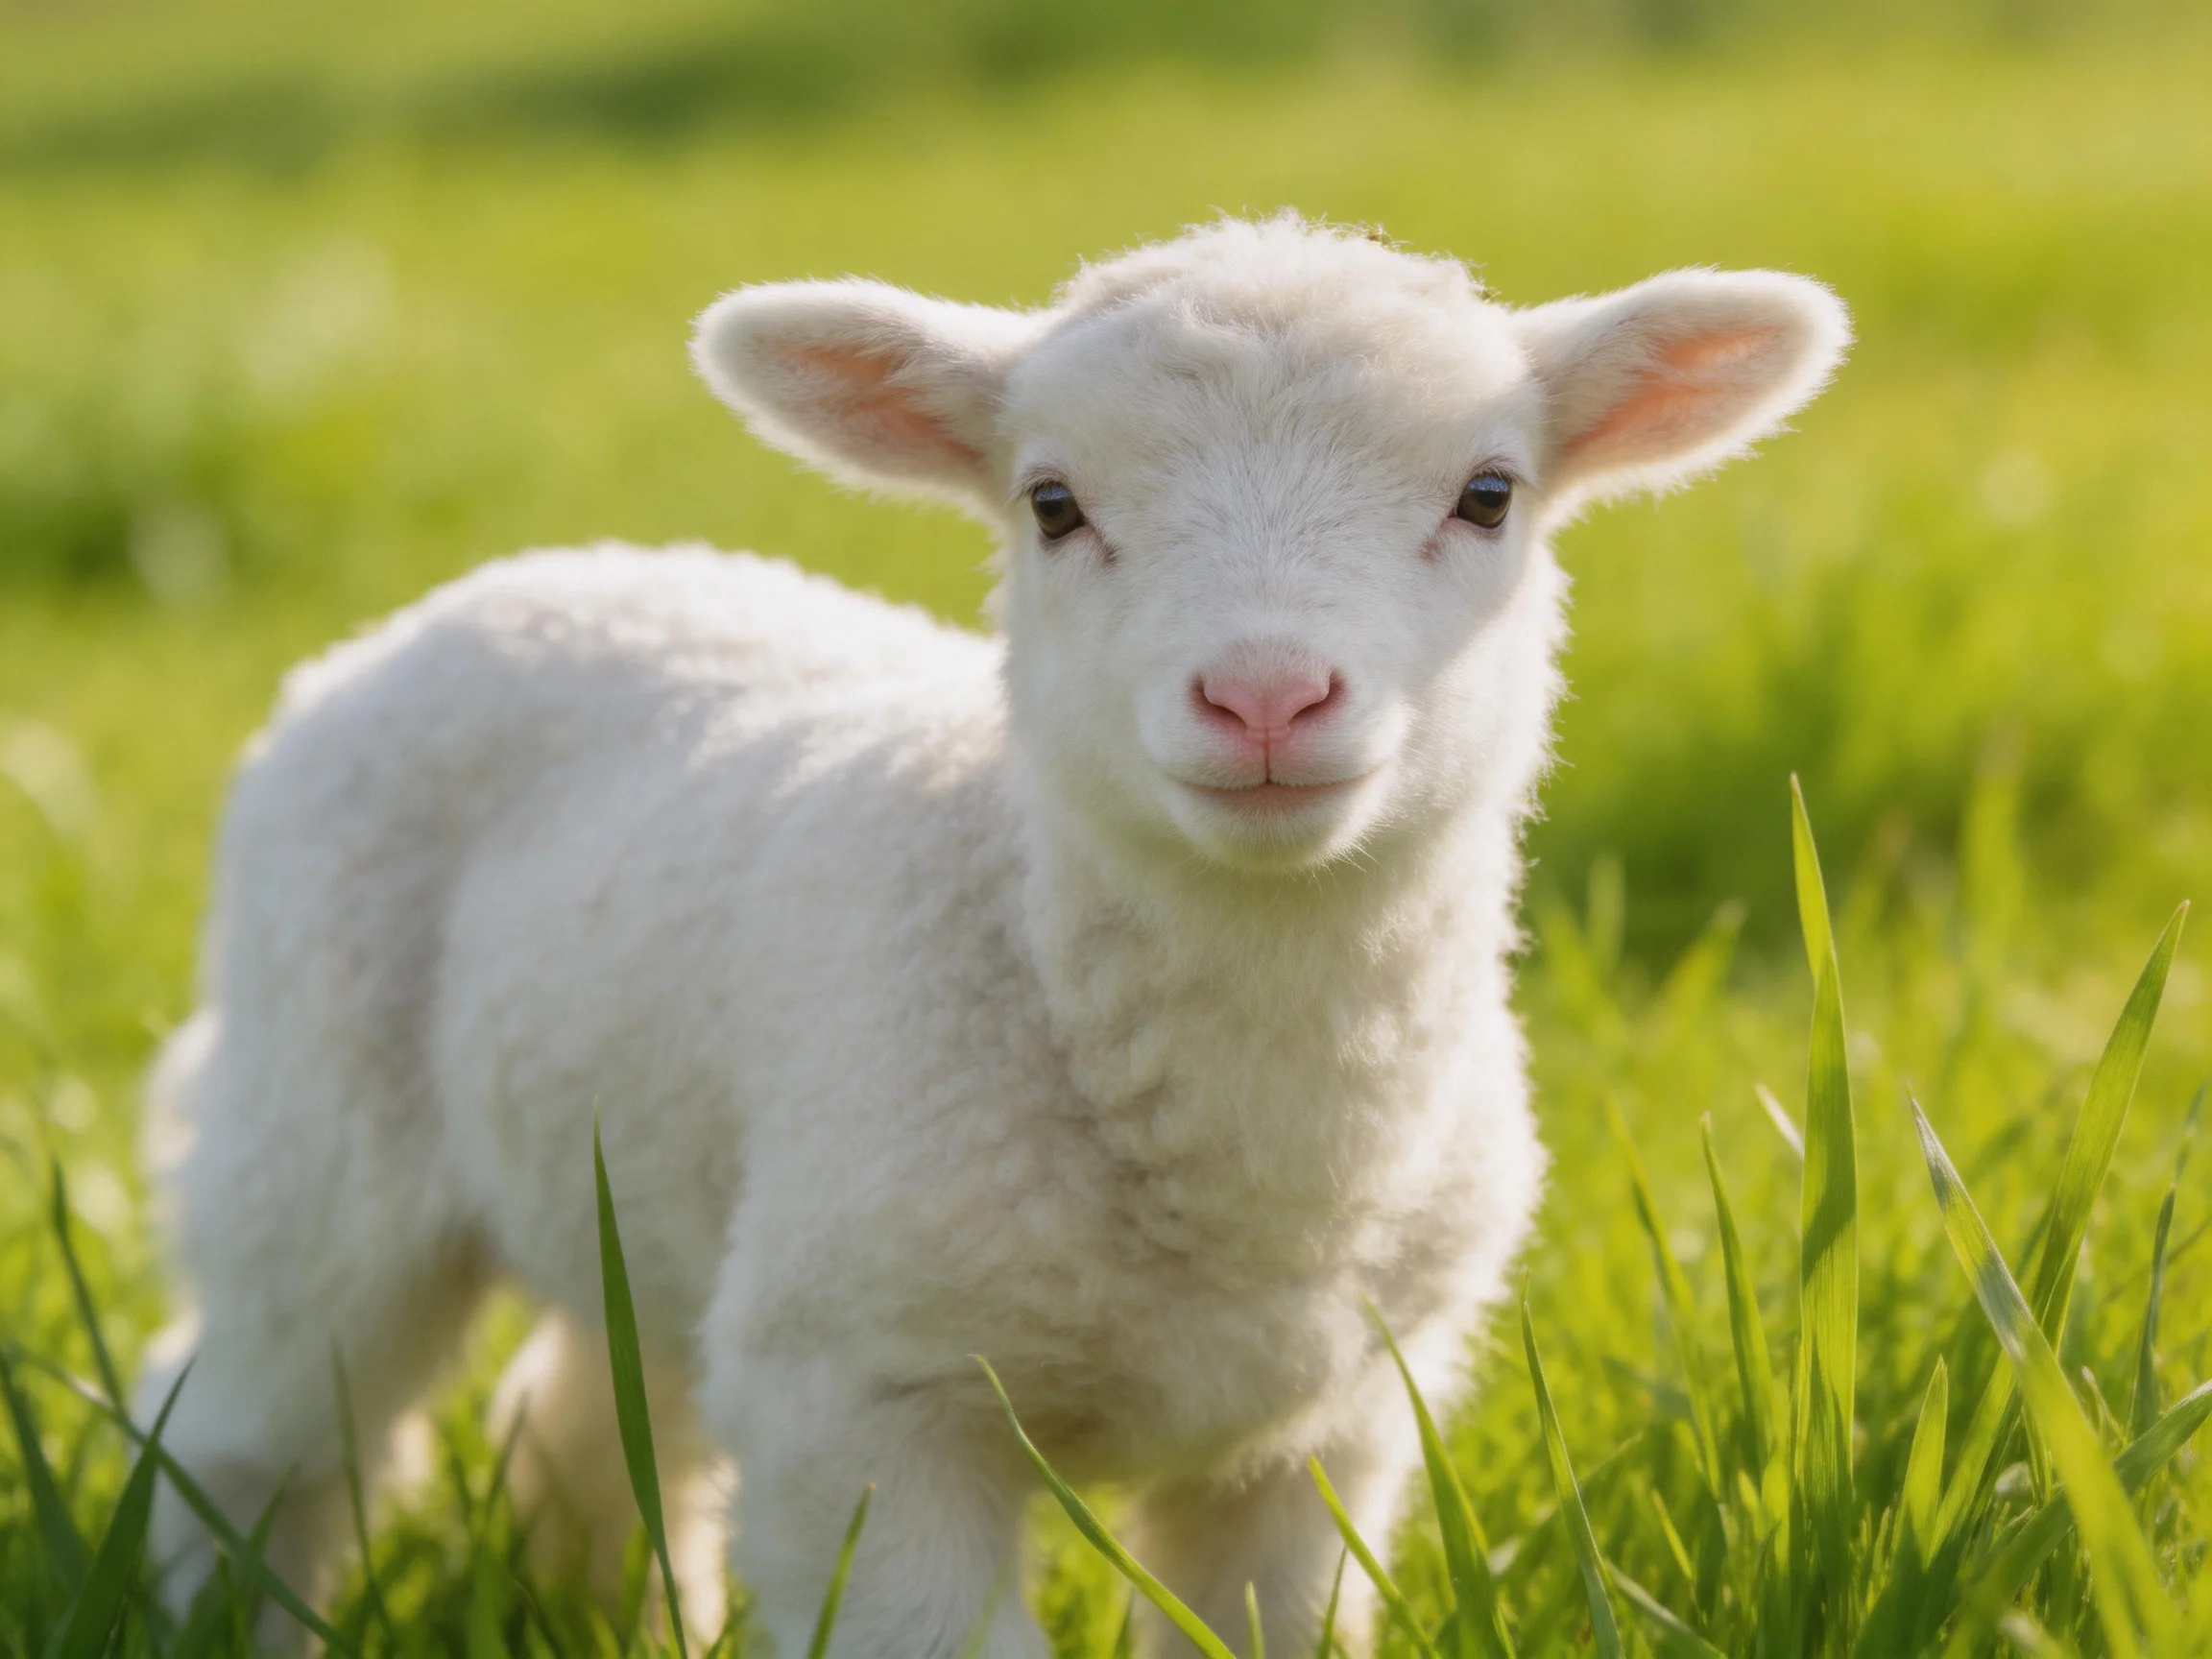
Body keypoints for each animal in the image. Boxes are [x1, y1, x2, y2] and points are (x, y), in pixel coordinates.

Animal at [136, 214, 1848, 1657]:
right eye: (1053, 503)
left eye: (1488, 495)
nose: (1267, 697)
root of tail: (544, 572)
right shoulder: (864, 1401)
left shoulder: (1329, 1431)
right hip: (318, 1133)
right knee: (247, 1426)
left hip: (661, 1195)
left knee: (594, 1427)